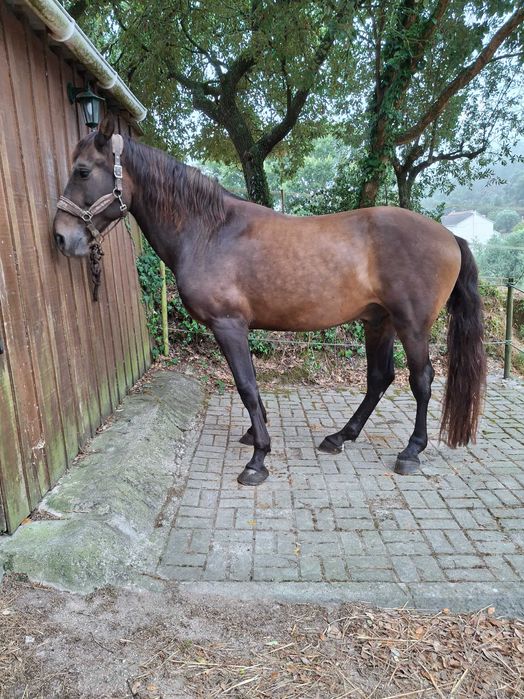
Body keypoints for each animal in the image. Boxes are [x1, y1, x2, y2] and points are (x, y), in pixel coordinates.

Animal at [53, 114, 486, 486]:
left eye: (83, 171)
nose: (60, 236)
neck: (209, 231)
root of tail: (450, 237)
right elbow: (253, 389)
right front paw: (254, 433)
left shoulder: (228, 325)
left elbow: (245, 385)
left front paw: (258, 458)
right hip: (378, 322)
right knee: (380, 378)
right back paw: (340, 436)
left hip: (411, 326)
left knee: (421, 380)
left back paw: (411, 451)